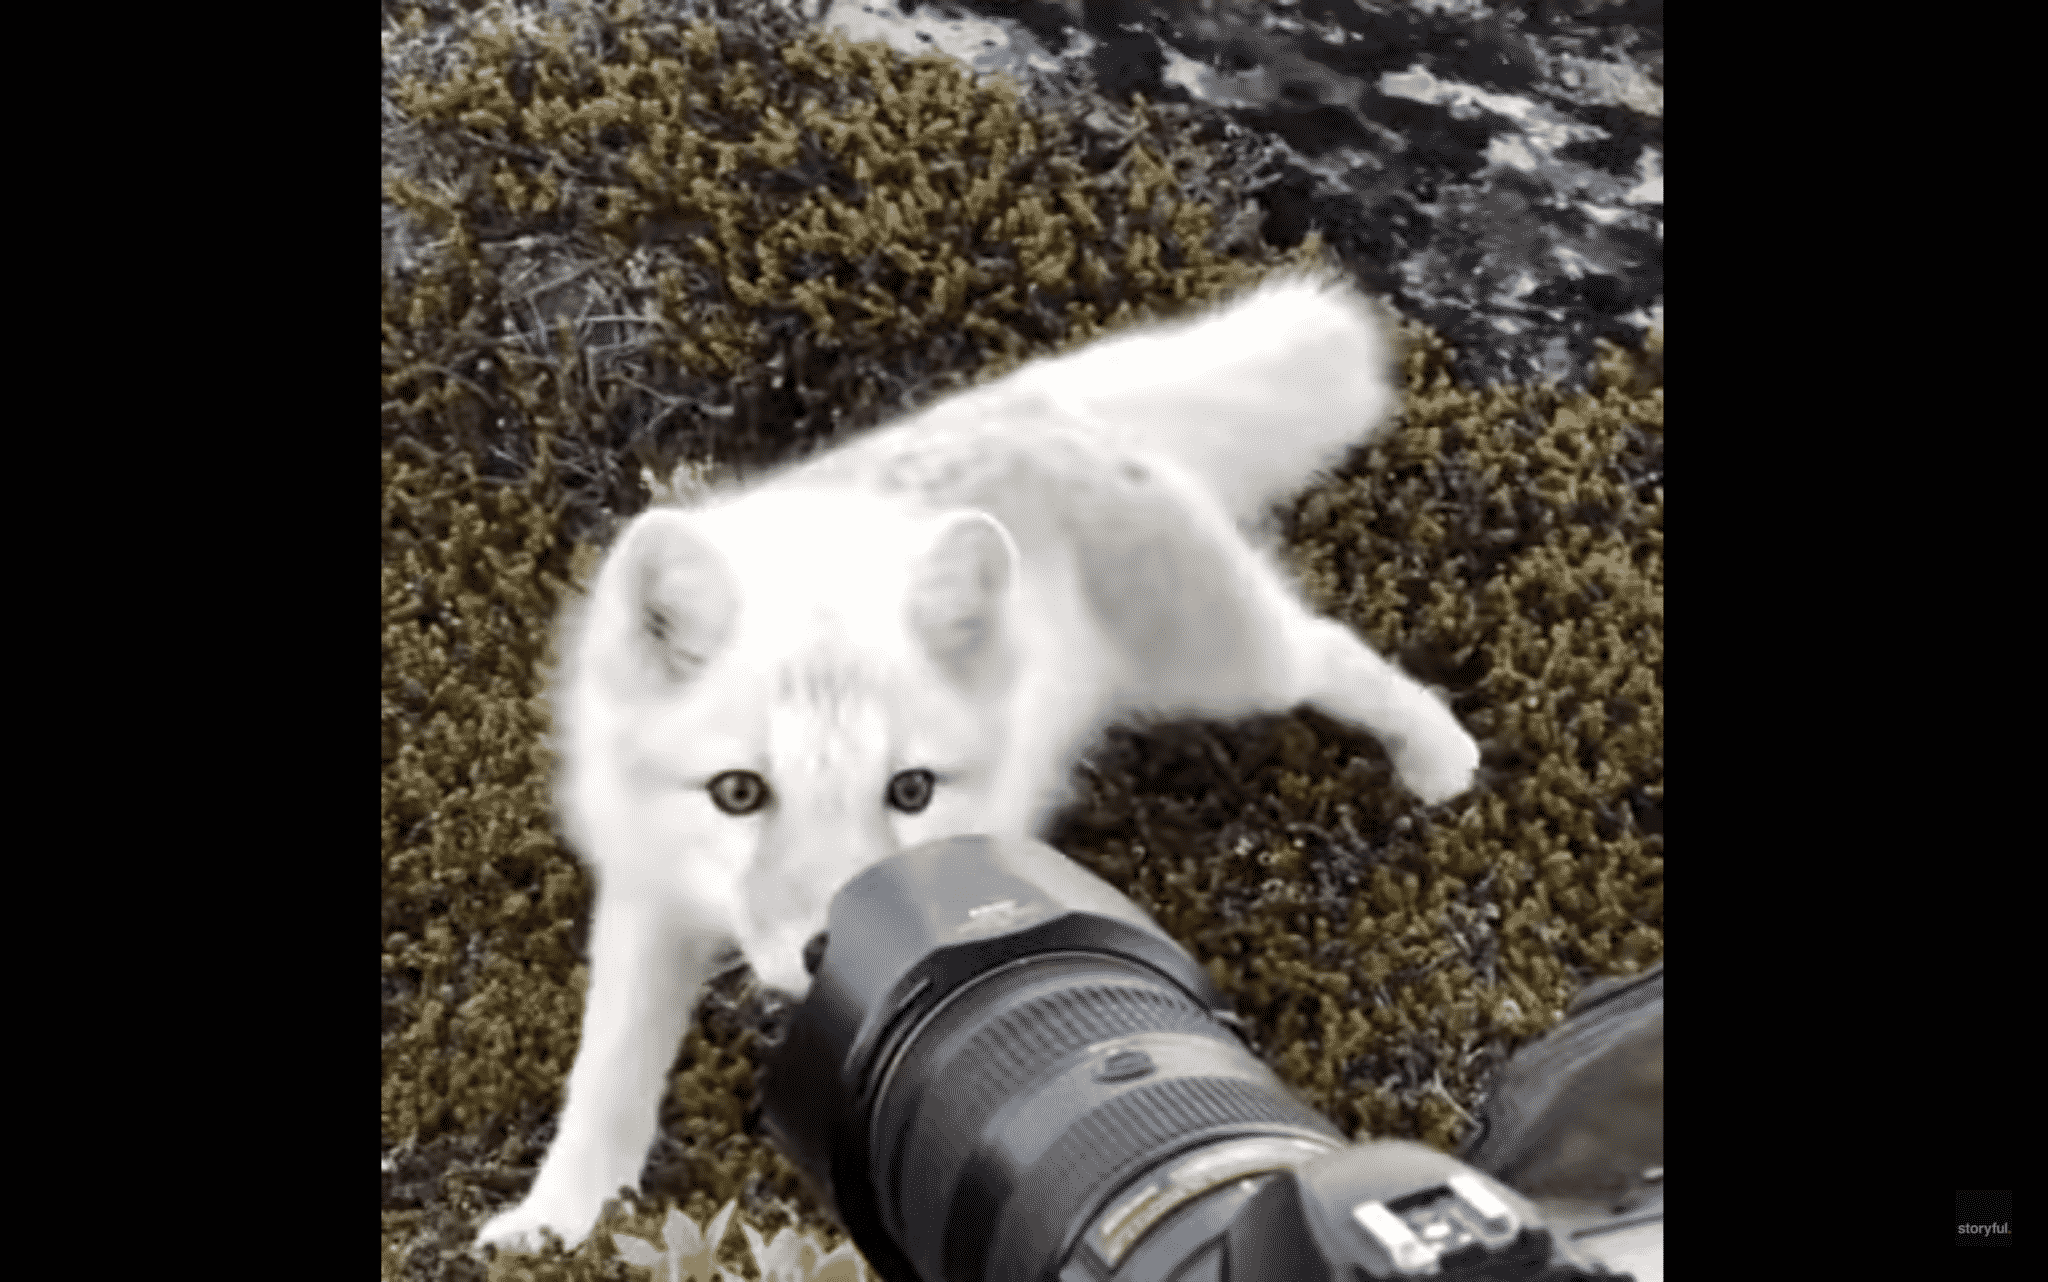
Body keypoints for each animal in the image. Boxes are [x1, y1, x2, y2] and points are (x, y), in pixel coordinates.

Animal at [475, 272, 1474, 1245]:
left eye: (911, 789)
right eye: (739, 792)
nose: (826, 949)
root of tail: (1032, 399)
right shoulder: (646, 894)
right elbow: (605, 1075)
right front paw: (557, 1221)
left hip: (1230, 669)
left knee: (1333, 652)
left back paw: (1440, 756)